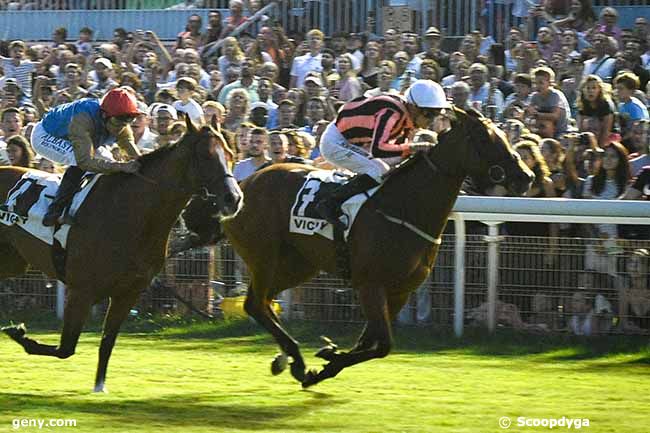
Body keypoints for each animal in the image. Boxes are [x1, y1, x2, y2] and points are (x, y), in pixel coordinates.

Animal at [1, 117, 242, 392]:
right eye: (205, 155)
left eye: (230, 153)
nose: (234, 198)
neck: (131, 213)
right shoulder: (82, 290)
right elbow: (66, 348)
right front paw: (18, 332)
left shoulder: (128, 292)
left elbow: (107, 342)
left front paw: (100, 387)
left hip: (12, 261)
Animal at [223, 109, 532, 388]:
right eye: (485, 139)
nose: (526, 176)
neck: (404, 207)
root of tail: (244, 184)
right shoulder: (370, 285)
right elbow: (382, 345)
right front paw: (326, 360)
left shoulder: (399, 292)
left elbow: (368, 341)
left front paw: (328, 360)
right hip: (264, 256)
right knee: (255, 303)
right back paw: (295, 359)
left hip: (299, 264)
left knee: (263, 302)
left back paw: (286, 359)